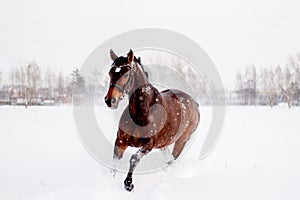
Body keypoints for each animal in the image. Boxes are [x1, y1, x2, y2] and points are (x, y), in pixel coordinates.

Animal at [104, 49, 200, 191]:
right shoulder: (120, 142)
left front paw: (128, 184)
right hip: (164, 144)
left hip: (181, 141)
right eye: (110, 73)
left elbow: (134, 159)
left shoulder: (148, 145)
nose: (110, 101)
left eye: (126, 74)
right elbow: (115, 161)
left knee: (171, 161)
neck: (142, 113)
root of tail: (194, 103)